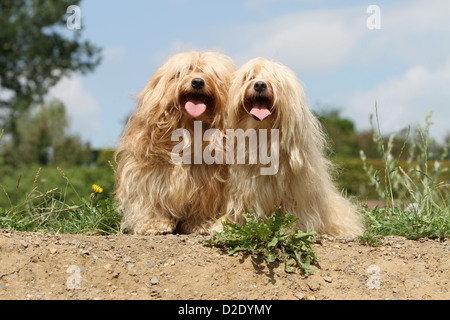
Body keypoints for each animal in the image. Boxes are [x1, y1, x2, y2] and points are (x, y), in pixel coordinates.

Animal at [115, 51, 236, 234]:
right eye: (181, 73)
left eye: (213, 75)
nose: (197, 82)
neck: (191, 129)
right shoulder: (150, 174)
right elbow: (150, 198)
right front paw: (154, 223)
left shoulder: (211, 184)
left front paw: (202, 224)